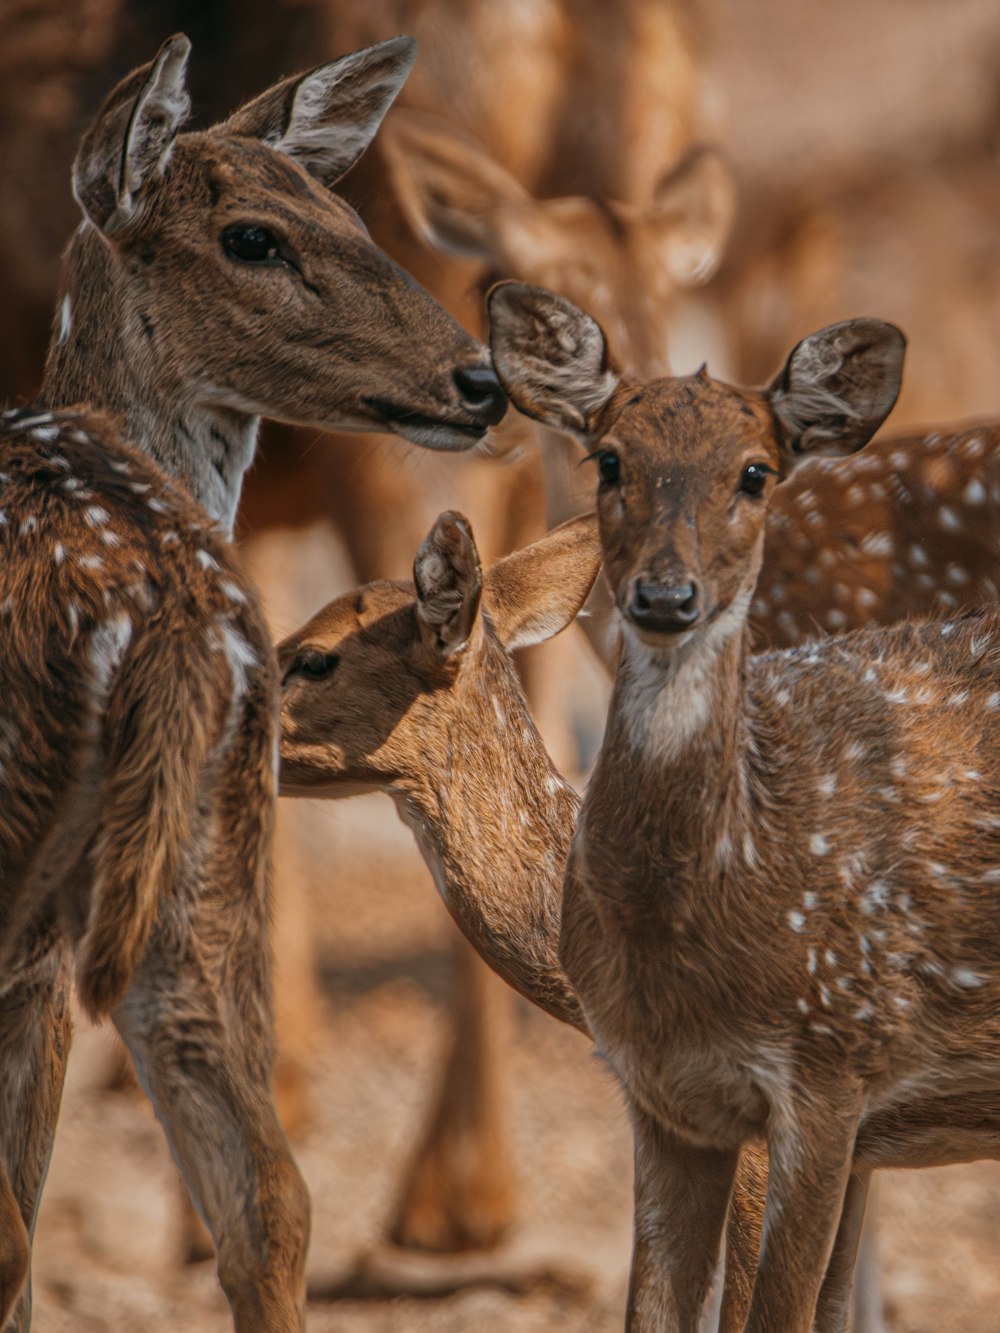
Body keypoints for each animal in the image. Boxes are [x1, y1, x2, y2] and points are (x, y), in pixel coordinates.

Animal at [488, 283, 1000, 1333]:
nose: (666, 595)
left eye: (756, 472)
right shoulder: (658, 1095)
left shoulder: (834, 1064)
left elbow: (779, 1315)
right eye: (609, 458)